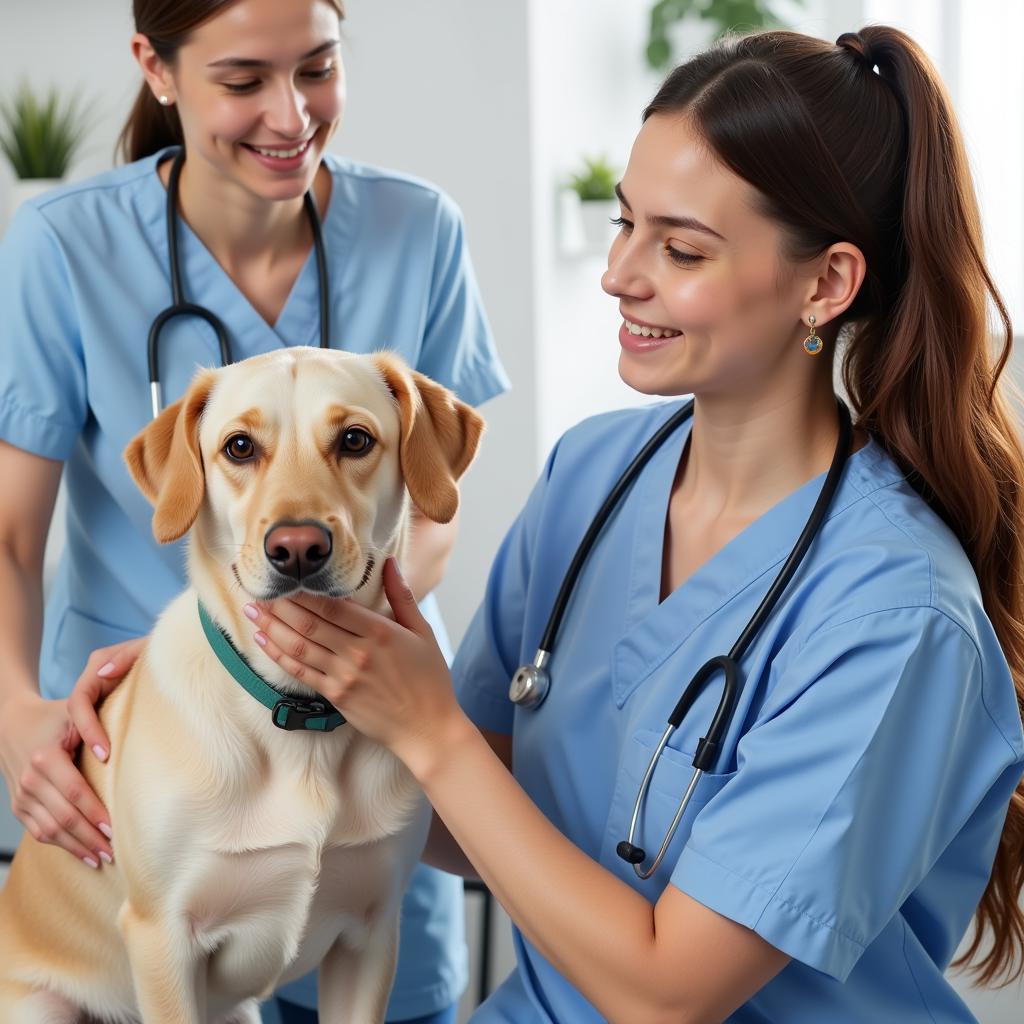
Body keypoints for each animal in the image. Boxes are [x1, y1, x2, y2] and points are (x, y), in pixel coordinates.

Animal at [0, 346, 483, 1024]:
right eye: (239, 447)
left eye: (355, 439)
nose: (298, 547)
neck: (297, 711)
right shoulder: (162, 940)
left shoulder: (370, 937)